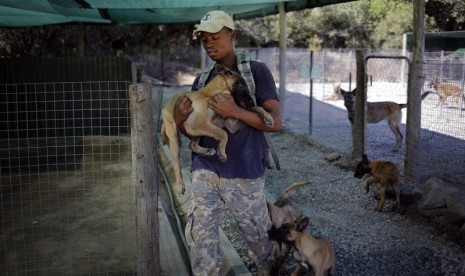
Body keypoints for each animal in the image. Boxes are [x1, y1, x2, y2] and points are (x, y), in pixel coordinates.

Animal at [161, 64, 274, 196]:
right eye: (240, 85)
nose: (251, 102)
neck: (210, 95)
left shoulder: (231, 124)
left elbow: (255, 109)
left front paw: (267, 116)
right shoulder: (196, 123)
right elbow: (223, 133)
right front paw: (222, 152)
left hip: (197, 133)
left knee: (191, 145)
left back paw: (206, 151)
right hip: (175, 135)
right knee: (176, 164)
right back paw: (180, 185)